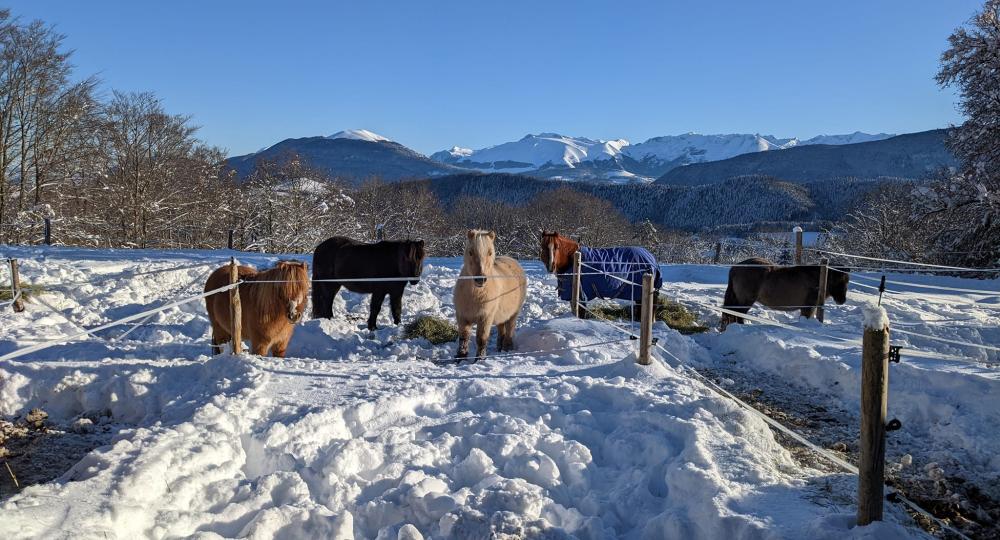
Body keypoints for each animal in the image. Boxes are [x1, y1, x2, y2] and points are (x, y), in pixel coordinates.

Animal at [456, 228, 528, 358]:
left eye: (490, 253)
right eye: (470, 252)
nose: (480, 279)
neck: (475, 295)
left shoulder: (485, 318)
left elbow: (481, 339)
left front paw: (479, 359)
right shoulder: (462, 317)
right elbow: (463, 339)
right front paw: (460, 357)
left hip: (514, 314)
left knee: (509, 330)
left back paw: (507, 348)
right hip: (501, 316)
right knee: (501, 331)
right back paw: (499, 348)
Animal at [720, 258, 852, 330]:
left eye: (847, 281)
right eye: (838, 280)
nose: (842, 300)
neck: (817, 278)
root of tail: (736, 268)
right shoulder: (808, 307)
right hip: (746, 301)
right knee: (738, 314)